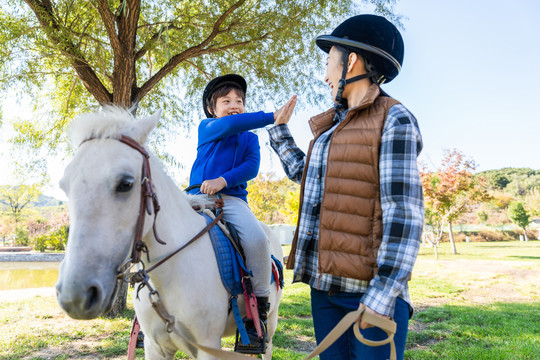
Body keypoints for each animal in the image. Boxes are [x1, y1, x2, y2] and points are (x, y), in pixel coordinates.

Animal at [55, 107, 284, 360]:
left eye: (126, 183)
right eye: (64, 186)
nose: (75, 295)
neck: (169, 274)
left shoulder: (209, 346)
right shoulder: (156, 347)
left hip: (270, 323)